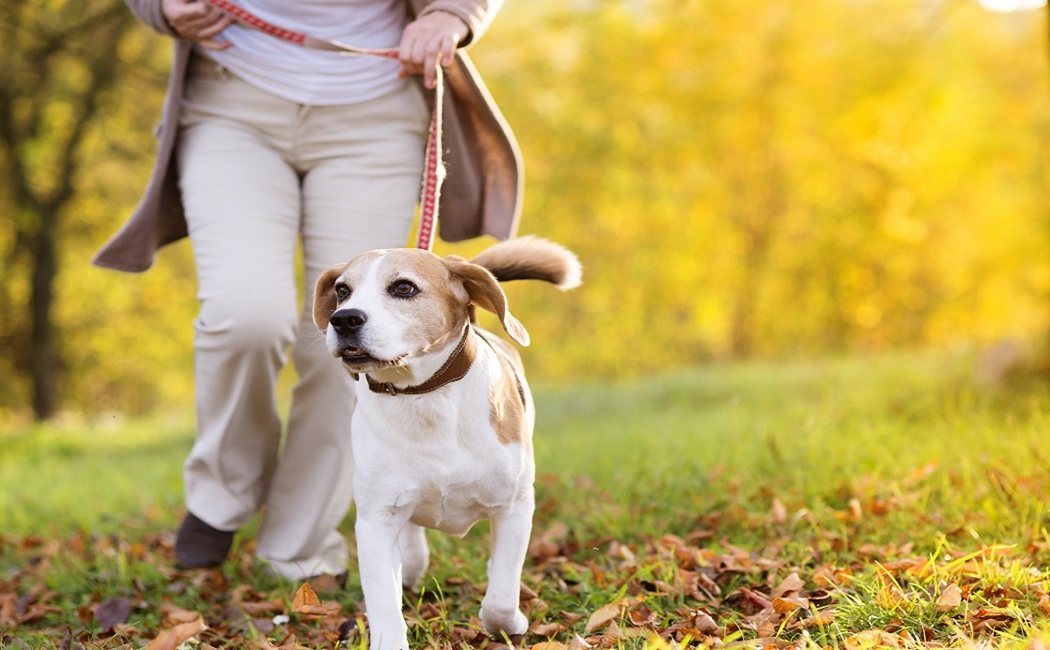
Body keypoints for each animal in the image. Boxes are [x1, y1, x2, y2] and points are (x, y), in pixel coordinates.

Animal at [310, 236, 583, 646]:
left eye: (403, 287)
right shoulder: (375, 522)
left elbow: (501, 597)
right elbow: (384, 600)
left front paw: (511, 623)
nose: (343, 319)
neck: (424, 397)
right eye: (343, 290)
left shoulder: (515, 507)